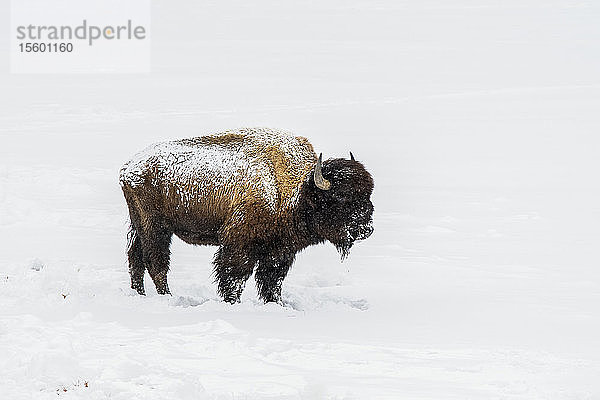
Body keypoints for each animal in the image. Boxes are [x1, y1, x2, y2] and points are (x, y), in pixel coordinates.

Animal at [119, 128, 372, 304]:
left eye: (368, 194)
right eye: (340, 198)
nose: (366, 229)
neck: (297, 189)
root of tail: (128, 167)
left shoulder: (279, 251)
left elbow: (272, 281)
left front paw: (276, 303)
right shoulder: (239, 245)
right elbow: (235, 277)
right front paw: (233, 302)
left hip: (138, 225)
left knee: (135, 258)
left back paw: (140, 295)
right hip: (156, 227)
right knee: (156, 263)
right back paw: (167, 297)